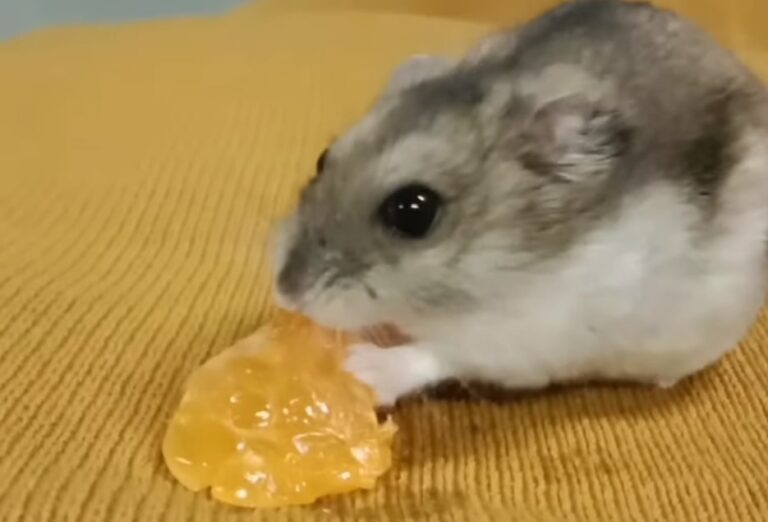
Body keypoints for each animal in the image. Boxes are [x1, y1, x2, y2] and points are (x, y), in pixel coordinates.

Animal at [273, 0, 768, 406]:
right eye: (322, 158)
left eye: (413, 212)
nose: (285, 292)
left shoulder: (519, 340)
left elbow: (436, 354)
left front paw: (359, 370)